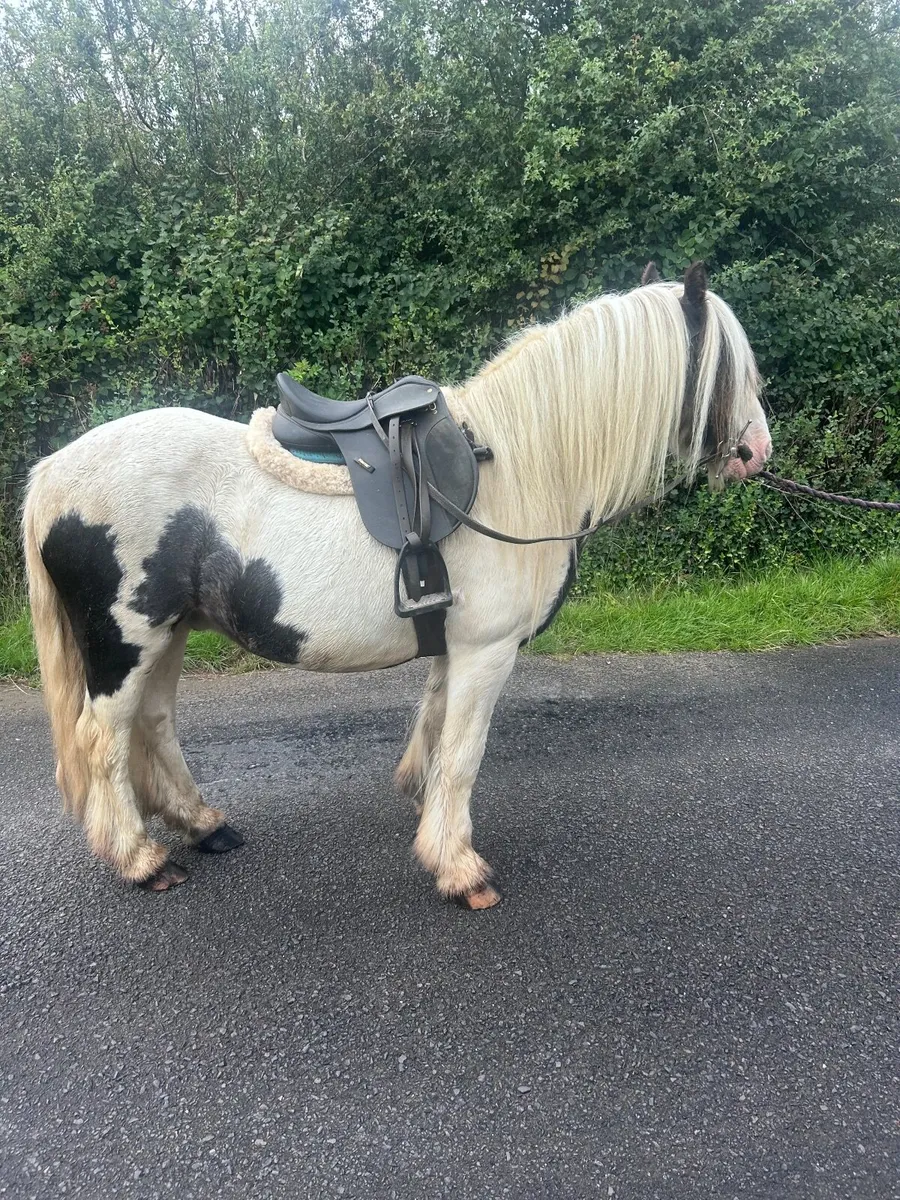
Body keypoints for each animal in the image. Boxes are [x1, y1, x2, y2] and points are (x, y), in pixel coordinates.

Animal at [22, 264, 771, 908]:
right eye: (729, 368)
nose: (758, 453)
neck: (520, 468)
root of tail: (53, 471)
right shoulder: (487, 651)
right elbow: (465, 753)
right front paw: (459, 868)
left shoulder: (454, 645)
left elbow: (436, 725)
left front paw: (424, 807)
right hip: (124, 642)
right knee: (104, 739)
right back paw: (139, 858)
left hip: (167, 633)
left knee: (152, 724)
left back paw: (204, 826)